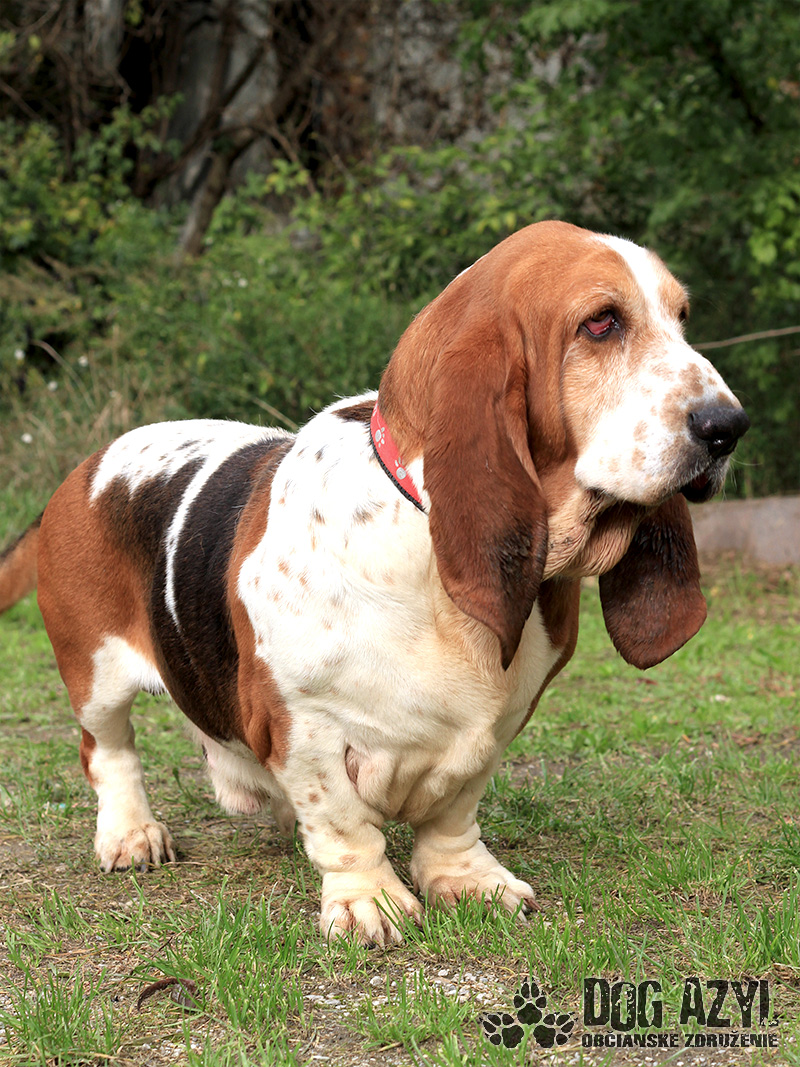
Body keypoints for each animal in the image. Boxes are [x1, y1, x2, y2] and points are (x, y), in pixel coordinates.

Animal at [0, 221, 749, 945]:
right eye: (601, 322)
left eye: (682, 317)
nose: (728, 426)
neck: (425, 541)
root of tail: (85, 468)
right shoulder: (304, 722)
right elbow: (342, 822)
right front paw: (370, 902)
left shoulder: (496, 725)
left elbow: (455, 811)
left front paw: (466, 879)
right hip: (96, 674)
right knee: (107, 749)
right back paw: (131, 834)